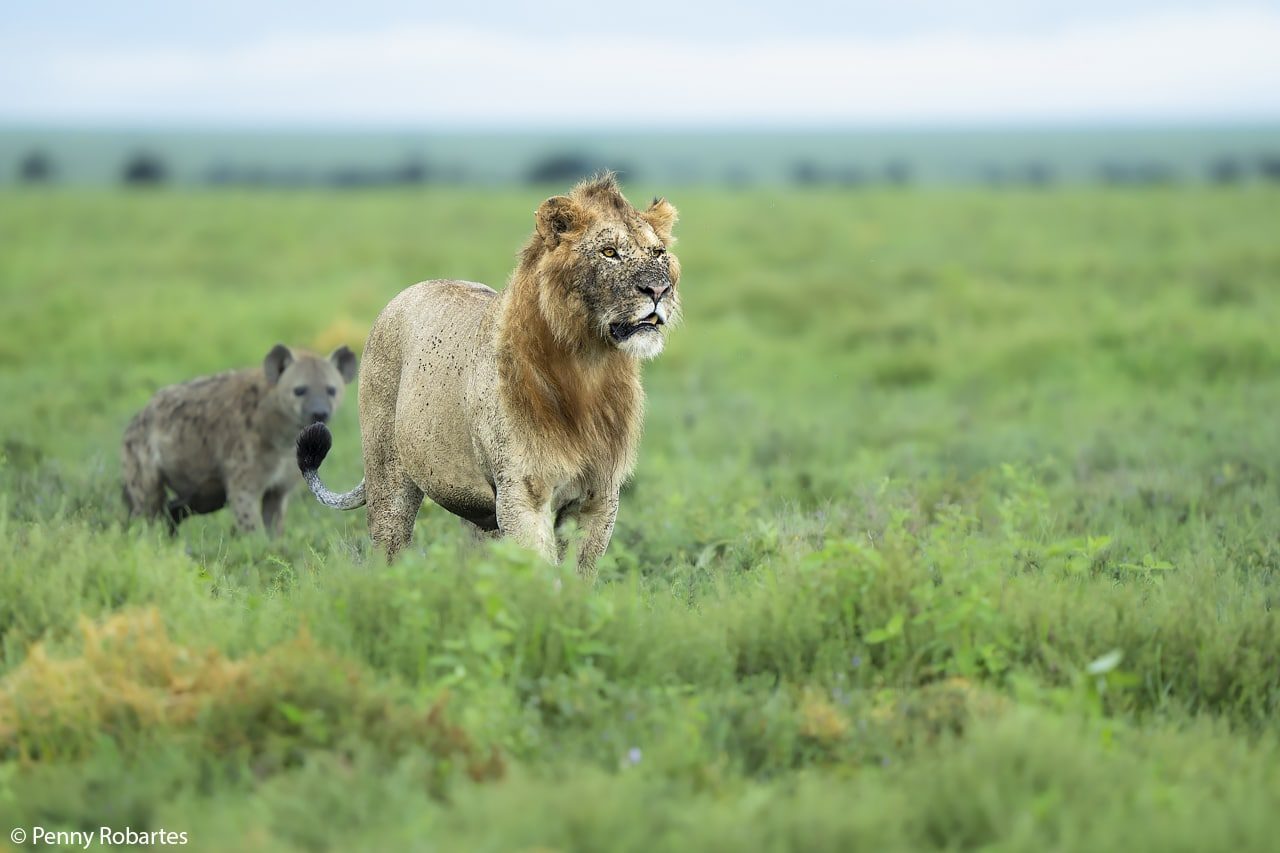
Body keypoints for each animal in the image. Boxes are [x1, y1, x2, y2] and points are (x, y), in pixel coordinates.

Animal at [297, 173, 680, 575]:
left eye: (657, 253)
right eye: (609, 252)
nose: (658, 289)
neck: (588, 366)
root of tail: (407, 292)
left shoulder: (599, 498)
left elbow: (577, 574)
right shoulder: (522, 493)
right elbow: (541, 573)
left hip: (477, 508)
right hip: (389, 478)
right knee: (388, 549)